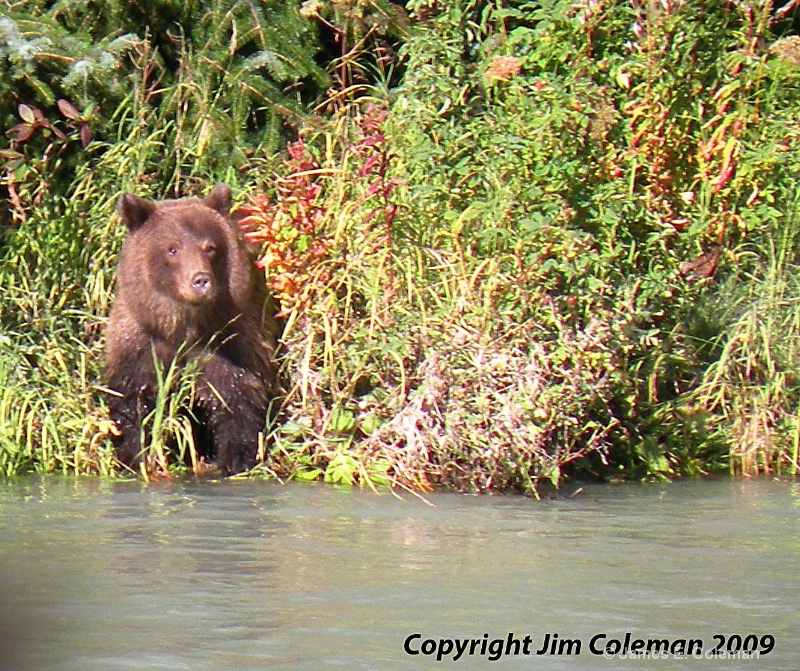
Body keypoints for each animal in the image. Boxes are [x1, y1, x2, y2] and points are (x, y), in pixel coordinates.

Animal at [104, 184, 278, 476]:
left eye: (210, 247)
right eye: (172, 249)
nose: (200, 280)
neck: (184, 326)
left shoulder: (228, 341)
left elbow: (236, 399)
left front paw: (233, 459)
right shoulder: (141, 345)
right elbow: (132, 401)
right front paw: (134, 454)